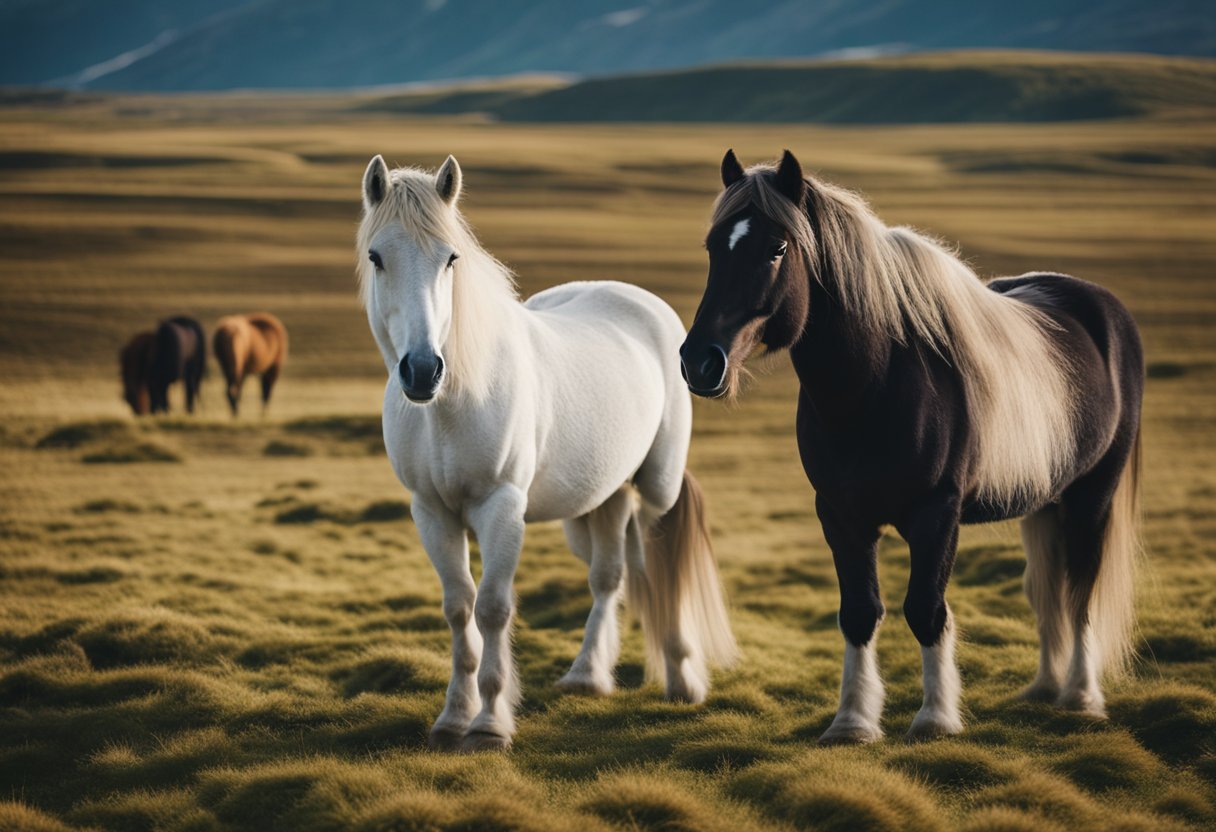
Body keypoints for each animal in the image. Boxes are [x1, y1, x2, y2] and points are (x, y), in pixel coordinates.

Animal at [355, 152, 734, 749]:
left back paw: (680, 680)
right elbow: (459, 607)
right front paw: (454, 717)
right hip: (601, 501)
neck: (449, 405)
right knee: (608, 577)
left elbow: (492, 608)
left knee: (659, 572)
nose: (422, 369)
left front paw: (489, 724)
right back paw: (587, 676)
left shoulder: (502, 507)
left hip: (656, 491)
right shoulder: (431, 511)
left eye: (450, 258)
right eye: (377, 257)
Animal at [680, 147, 1143, 739]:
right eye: (714, 247)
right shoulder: (839, 515)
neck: (873, 389)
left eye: (776, 248)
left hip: (1092, 495)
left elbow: (926, 609)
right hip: (1046, 498)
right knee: (1048, 591)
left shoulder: (936, 513)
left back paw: (1081, 696)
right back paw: (1044, 688)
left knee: (1081, 588)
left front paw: (935, 718)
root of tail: (1102, 307)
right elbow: (858, 611)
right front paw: (852, 720)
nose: (700, 361)